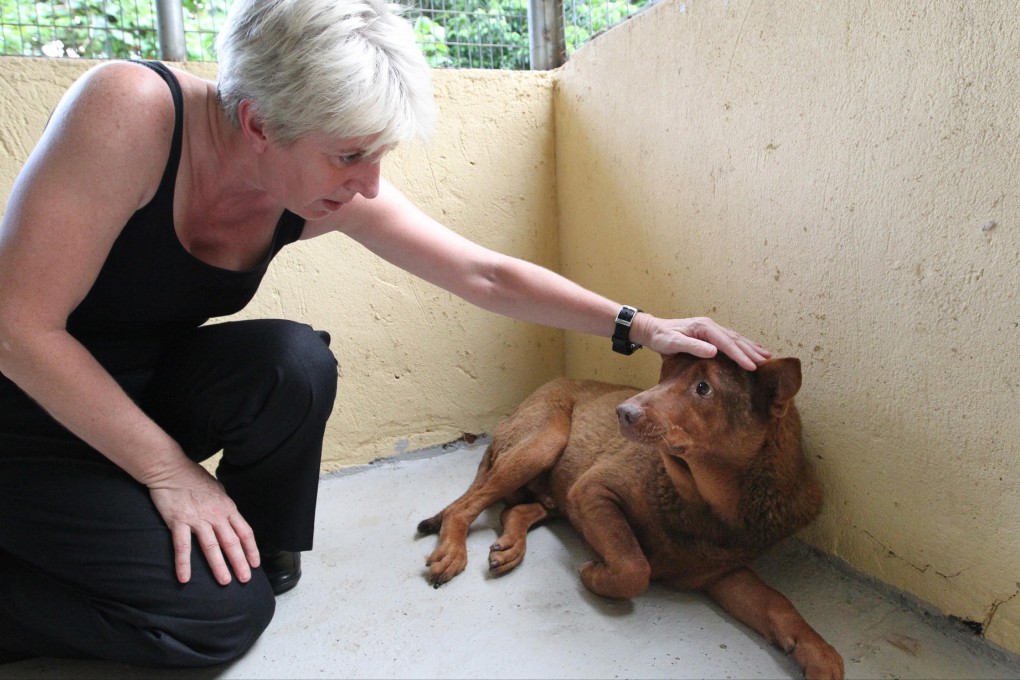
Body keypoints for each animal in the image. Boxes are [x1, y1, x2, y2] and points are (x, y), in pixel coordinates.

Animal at [416, 354, 844, 676]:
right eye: (666, 375)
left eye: (703, 388)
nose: (622, 412)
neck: (708, 502)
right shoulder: (592, 491)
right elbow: (635, 567)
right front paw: (594, 574)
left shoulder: (721, 573)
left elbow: (778, 604)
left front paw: (820, 653)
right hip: (544, 441)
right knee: (463, 506)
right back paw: (451, 553)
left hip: (550, 488)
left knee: (516, 509)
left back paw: (509, 546)